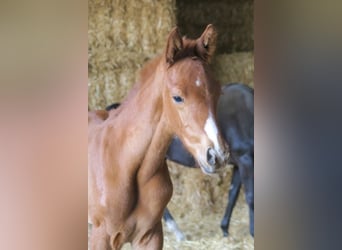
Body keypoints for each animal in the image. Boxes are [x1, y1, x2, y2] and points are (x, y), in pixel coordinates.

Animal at [88, 24, 228, 250]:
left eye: (218, 92)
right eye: (177, 97)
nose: (217, 155)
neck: (124, 162)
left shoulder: (150, 235)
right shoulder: (102, 236)